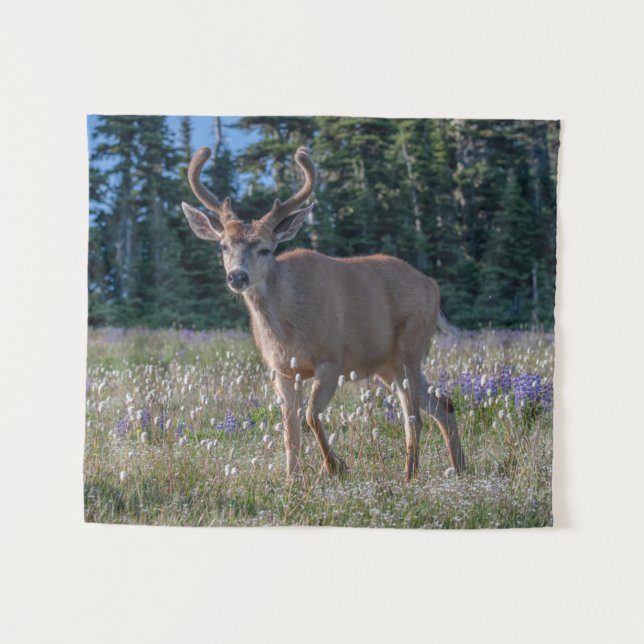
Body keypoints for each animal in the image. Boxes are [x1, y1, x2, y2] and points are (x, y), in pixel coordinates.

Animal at [181, 146, 465, 482]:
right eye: (223, 246)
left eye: (265, 249)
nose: (237, 276)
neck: (287, 328)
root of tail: (433, 286)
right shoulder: (281, 370)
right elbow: (290, 430)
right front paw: (292, 480)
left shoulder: (332, 359)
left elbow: (310, 416)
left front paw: (335, 466)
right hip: (387, 365)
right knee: (442, 404)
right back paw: (459, 467)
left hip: (409, 347)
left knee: (414, 418)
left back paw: (410, 475)